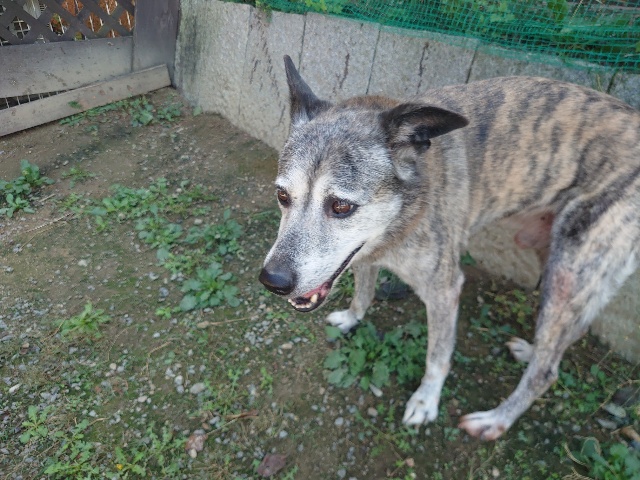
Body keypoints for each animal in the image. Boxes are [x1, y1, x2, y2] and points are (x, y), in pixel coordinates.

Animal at [259, 55, 640, 440]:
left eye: (340, 206)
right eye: (282, 196)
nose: (272, 281)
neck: (407, 208)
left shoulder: (444, 290)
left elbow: (437, 357)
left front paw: (426, 401)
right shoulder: (364, 254)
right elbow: (363, 294)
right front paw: (352, 319)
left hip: (568, 271)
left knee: (547, 372)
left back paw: (495, 420)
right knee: (562, 340)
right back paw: (531, 351)